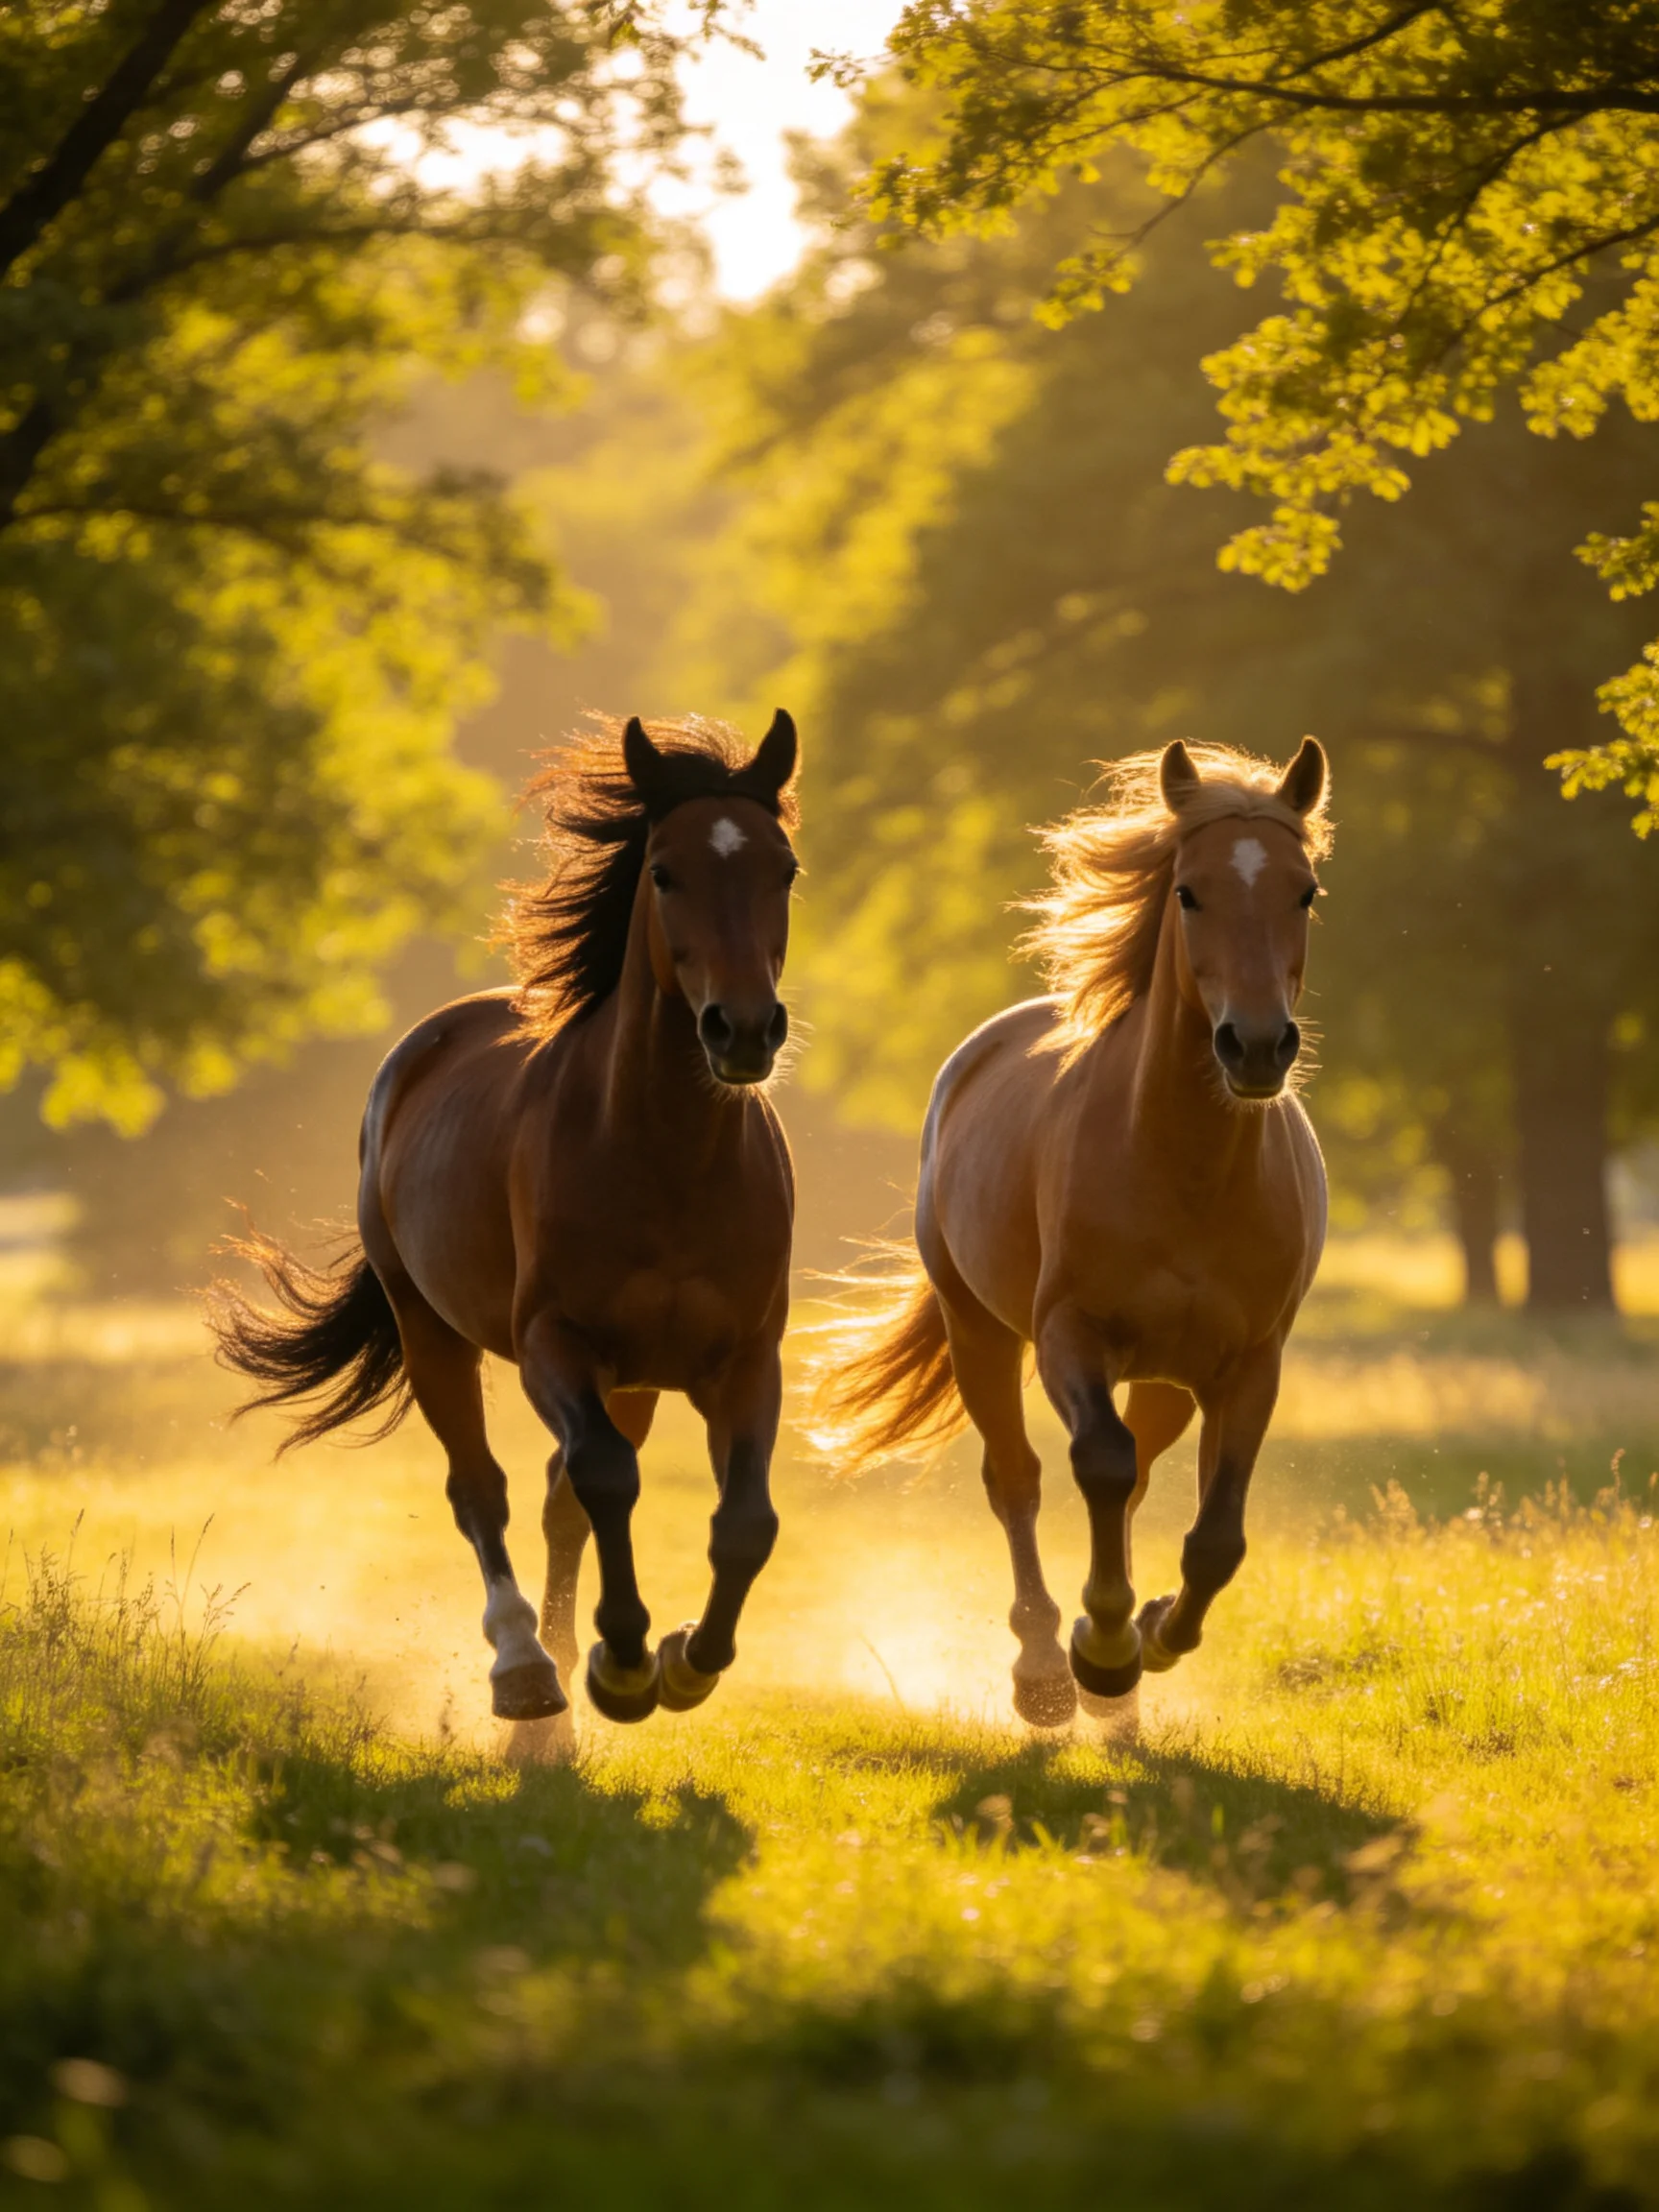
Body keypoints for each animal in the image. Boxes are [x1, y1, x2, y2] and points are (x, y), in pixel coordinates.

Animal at [210, 712, 801, 1727]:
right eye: (664, 872)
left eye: (785, 869)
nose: (744, 1031)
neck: (668, 1160)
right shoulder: (550, 1344)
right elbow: (604, 1477)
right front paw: (624, 1663)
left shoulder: (743, 1360)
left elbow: (742, 1522)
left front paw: (684, 1659)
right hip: (431, 1331)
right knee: (482, 1489)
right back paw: (527, 1664)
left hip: (634, 1375)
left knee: (565, 1498)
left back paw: (565, 1650)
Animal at [814, 737, 1331, 1725]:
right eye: (1189, 891)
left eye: (1305, 892)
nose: (1255, 1047)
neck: (1182, 1168)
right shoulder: (1068, 1338)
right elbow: (1099, 1463)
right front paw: (1100, 1651)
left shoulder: (1253, 1364)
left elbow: (1215, 1534)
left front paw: (1153, 1635)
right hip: (978, 1332)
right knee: (1016, 1479)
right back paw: (1046, 1669)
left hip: (1166, 1377)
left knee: (1138, 1480)